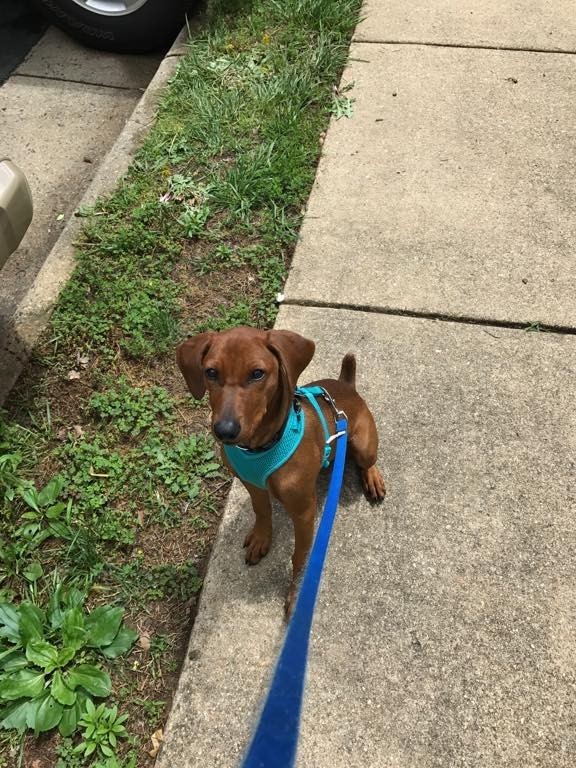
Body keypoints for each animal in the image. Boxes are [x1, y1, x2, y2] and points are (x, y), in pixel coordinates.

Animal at [176, 328, 382, 616]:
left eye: (257, 373)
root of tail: (347, 386)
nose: (224, 431)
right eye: (211, 372)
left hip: (363, 444)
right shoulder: (251, 483)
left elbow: (300, 558)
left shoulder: (304, 512)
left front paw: (296, 596)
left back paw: (372, 476)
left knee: (367, 460)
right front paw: (261, 538)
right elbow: (261, 510)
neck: (260, 447)